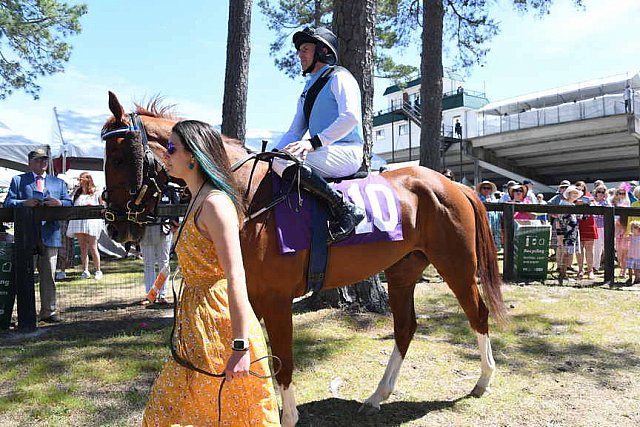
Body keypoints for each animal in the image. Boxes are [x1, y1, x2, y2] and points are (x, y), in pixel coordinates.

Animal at [102, 92, 508, 426]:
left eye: (120, 157)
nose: (116, 225)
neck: (247, 197)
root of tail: (454, 185)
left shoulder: (277, 300)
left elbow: (282, 361)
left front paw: (288, 416)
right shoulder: (249, 295)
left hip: (456, 265)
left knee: (478, 314)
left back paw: (483, 381)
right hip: (402, 271)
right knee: (405, 327)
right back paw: (377, 396)